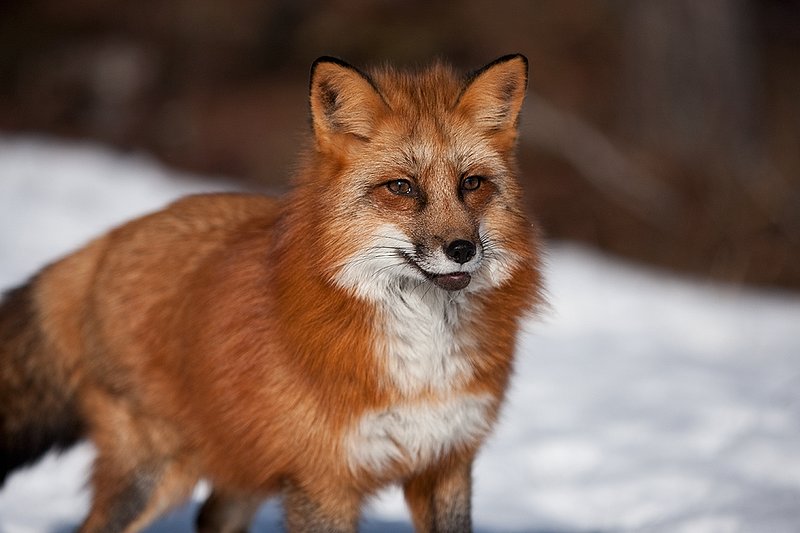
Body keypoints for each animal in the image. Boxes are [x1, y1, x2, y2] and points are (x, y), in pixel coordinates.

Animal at [0, 54, 542, 532]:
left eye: (472, 183)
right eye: (402, 188)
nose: (462, 249)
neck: (422, 351)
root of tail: (106, 241)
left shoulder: (445, 464)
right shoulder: (322, 479)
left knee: (212, 517)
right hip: (154, 472)